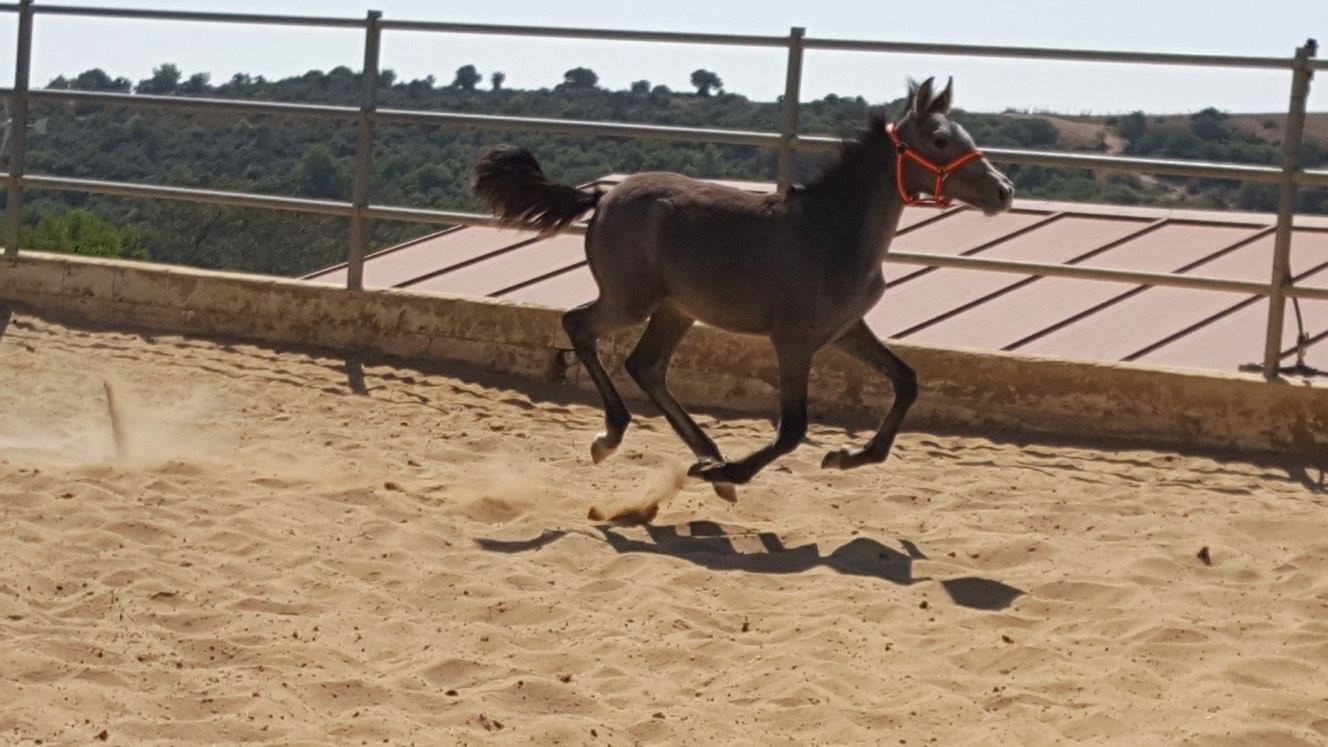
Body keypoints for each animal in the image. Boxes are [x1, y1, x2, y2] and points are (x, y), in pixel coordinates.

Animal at [472, 77, 1014, 500]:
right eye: (940, 141)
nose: (1003, 190)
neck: (833, 231)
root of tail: (601, 197)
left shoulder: (845, 330)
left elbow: (907, 380)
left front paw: (845, 456)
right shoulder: (794, 339)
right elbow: (793, 429)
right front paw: (736, 471)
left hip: (676, 309)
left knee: (645, 366)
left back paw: (706, 454)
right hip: (631, 300)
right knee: (579, 326)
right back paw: (618, 437)